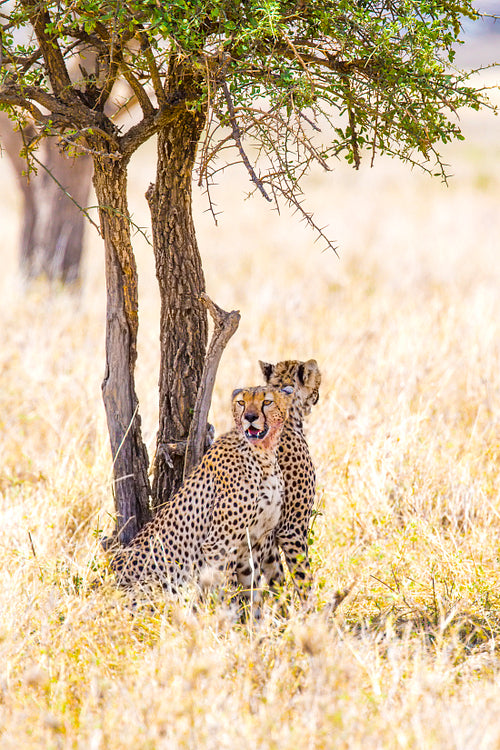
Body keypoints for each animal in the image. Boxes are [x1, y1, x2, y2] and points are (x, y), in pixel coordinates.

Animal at [109, 388, 290, 592]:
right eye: (241, 402)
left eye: (267, 402)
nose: (250, 417)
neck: (264, 456)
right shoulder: (219, 545)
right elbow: (226, 588)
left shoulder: (253, 542)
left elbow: (252, 589)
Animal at [236, 360, 322, 600]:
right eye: (318, 381)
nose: (318, 395)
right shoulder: (291, 529)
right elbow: (303, 579)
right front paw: (312, 610)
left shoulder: (270, 536)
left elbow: (277, 583)